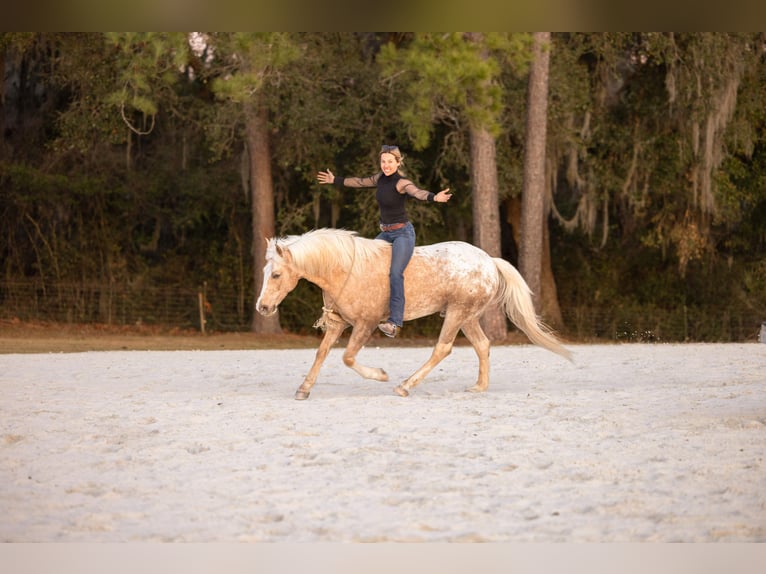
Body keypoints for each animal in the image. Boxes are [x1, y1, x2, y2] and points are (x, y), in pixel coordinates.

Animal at [256, 228, 572, 399]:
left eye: (276, 274)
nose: (263, 307)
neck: (345, 268)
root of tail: (489, 261)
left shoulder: (365, 324)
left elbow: (348, 358)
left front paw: (381, 375)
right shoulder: (338, 323)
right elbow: (321, 354)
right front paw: (304, 389)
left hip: (457, 313)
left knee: (442, 348)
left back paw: (405, 385)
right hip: (467, 317)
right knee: (482, 345)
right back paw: (479, 387)